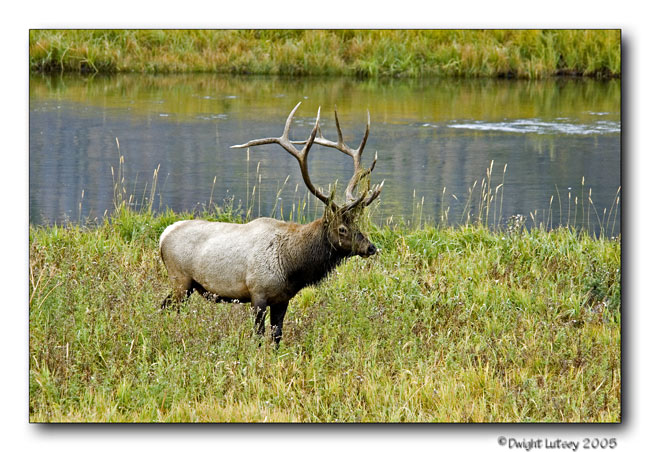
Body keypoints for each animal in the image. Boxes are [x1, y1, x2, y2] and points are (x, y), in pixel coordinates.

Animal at [159, 102, 384, 344]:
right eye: (342, 228)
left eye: (357, 224)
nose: (371, 247)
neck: (292, 265)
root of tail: (163, 236)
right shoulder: (257, 293)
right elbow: (258, 336)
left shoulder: (282, 299)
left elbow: (277, 336)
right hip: (180, 279)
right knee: (167, 307)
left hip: (186, 285)